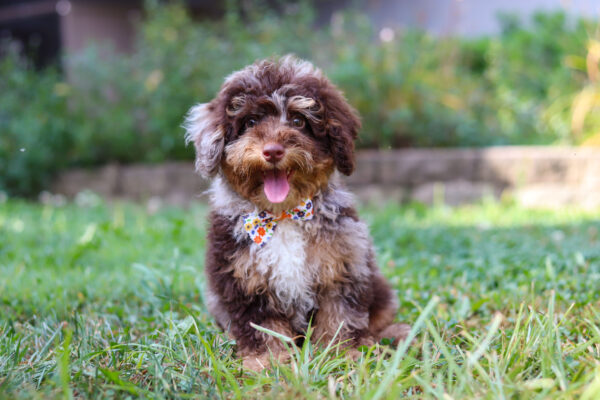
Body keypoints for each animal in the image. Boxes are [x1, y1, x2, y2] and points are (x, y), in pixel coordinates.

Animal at [185, 54, 410, 370]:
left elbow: (340, 315)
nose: (273, 151)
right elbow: (261, 325)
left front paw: (340, 354)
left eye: (298, 120)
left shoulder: (344, 265)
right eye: (250, 122)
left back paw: (392, 334)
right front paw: (267, 361)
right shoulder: (242, 280)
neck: (284, 216)